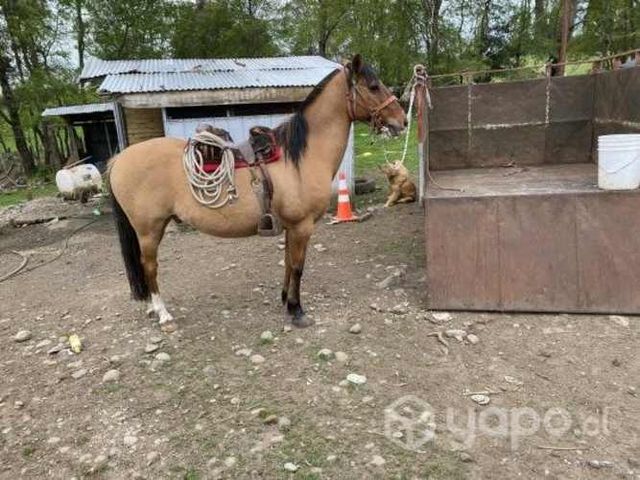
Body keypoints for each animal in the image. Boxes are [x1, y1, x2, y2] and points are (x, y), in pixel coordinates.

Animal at [108, 54, 407, 331]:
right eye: (373, 86)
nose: (402, 121)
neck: (300, 158)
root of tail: (119, 159)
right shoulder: (302, 226)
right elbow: (298, 267)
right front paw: (297, 310)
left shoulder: (290, 227)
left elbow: (287, 263)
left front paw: (286, 300)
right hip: (149, 230)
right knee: (149, 267)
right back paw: (163, 314)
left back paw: (152, 308)